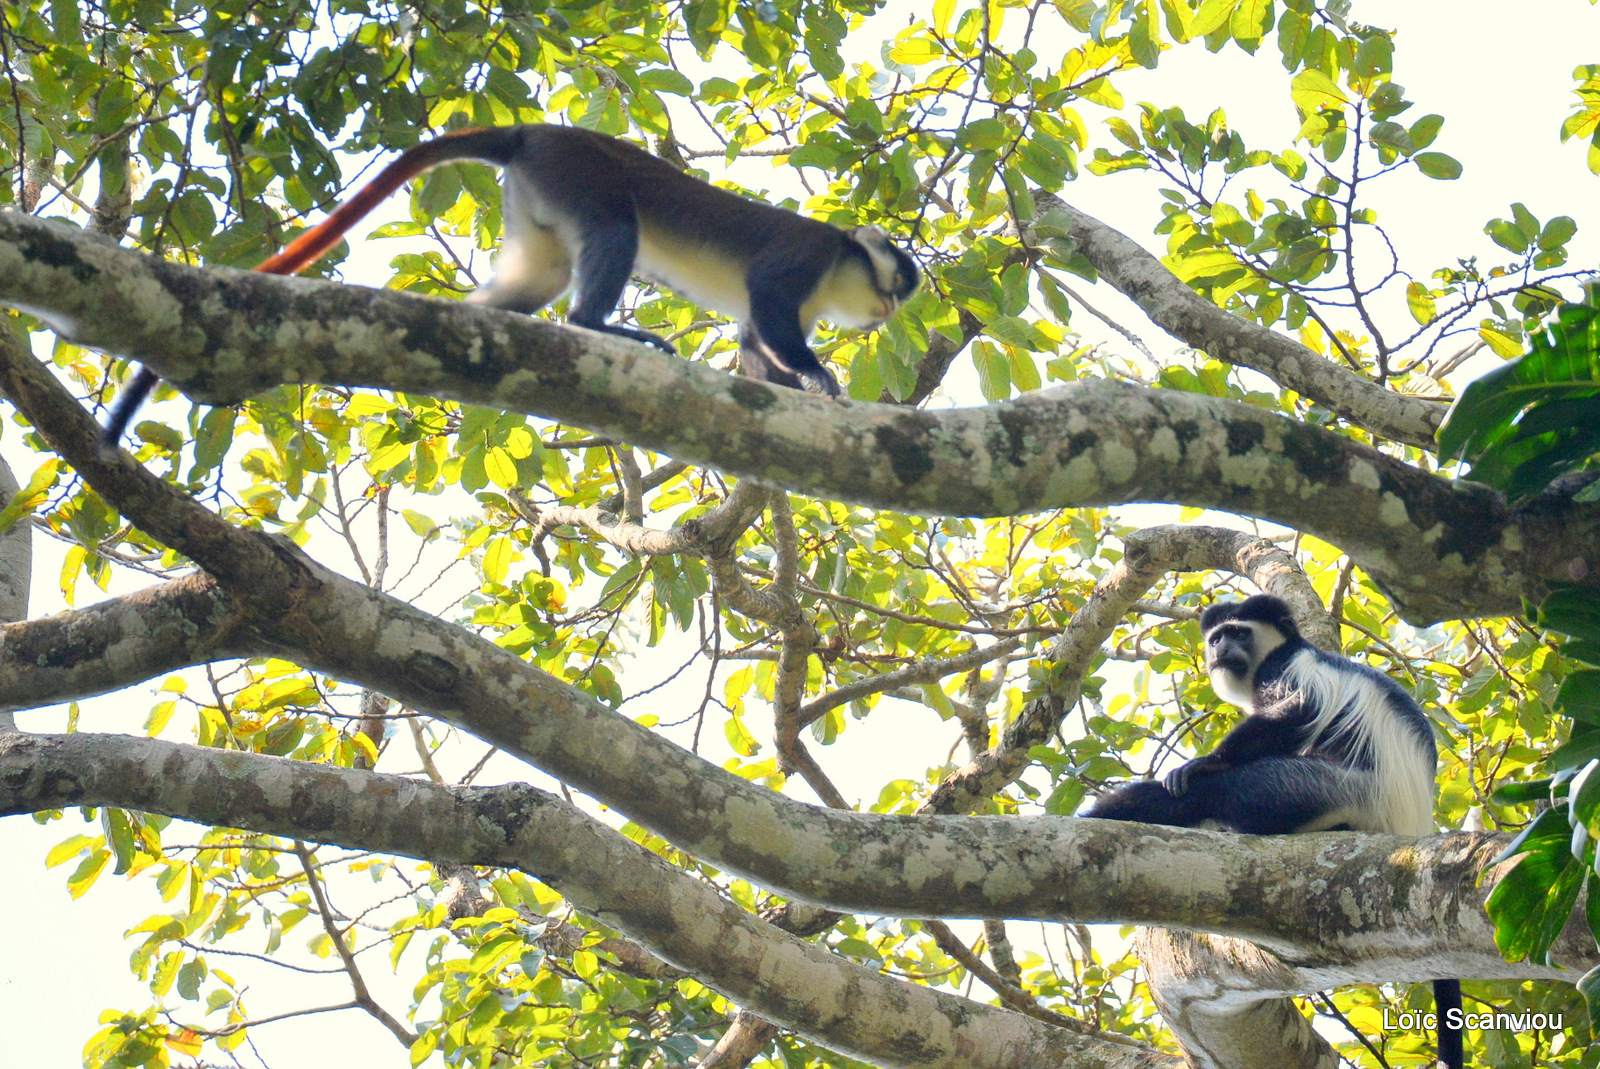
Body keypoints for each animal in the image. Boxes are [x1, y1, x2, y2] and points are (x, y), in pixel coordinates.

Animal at [100, 125, 921, 448]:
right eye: (896, 285)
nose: (887, 310)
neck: (839, 266)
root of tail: (532, 133)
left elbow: (755, 342)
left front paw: (782, 386)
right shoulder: (803, 257)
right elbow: (769, 309)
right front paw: (819, 377)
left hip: (538, 205)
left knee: (531, 288)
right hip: (578, 175)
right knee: (612, 230)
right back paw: (596, 326)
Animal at [1081, 592, 1465, 1069]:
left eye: (1239, 632)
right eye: (1217, 636)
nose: (1222, 649)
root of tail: (1411, 822)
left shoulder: (1285, 668)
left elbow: (1296, 710)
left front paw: (1202, 763)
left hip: (1321, 789)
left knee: (1214, 793)